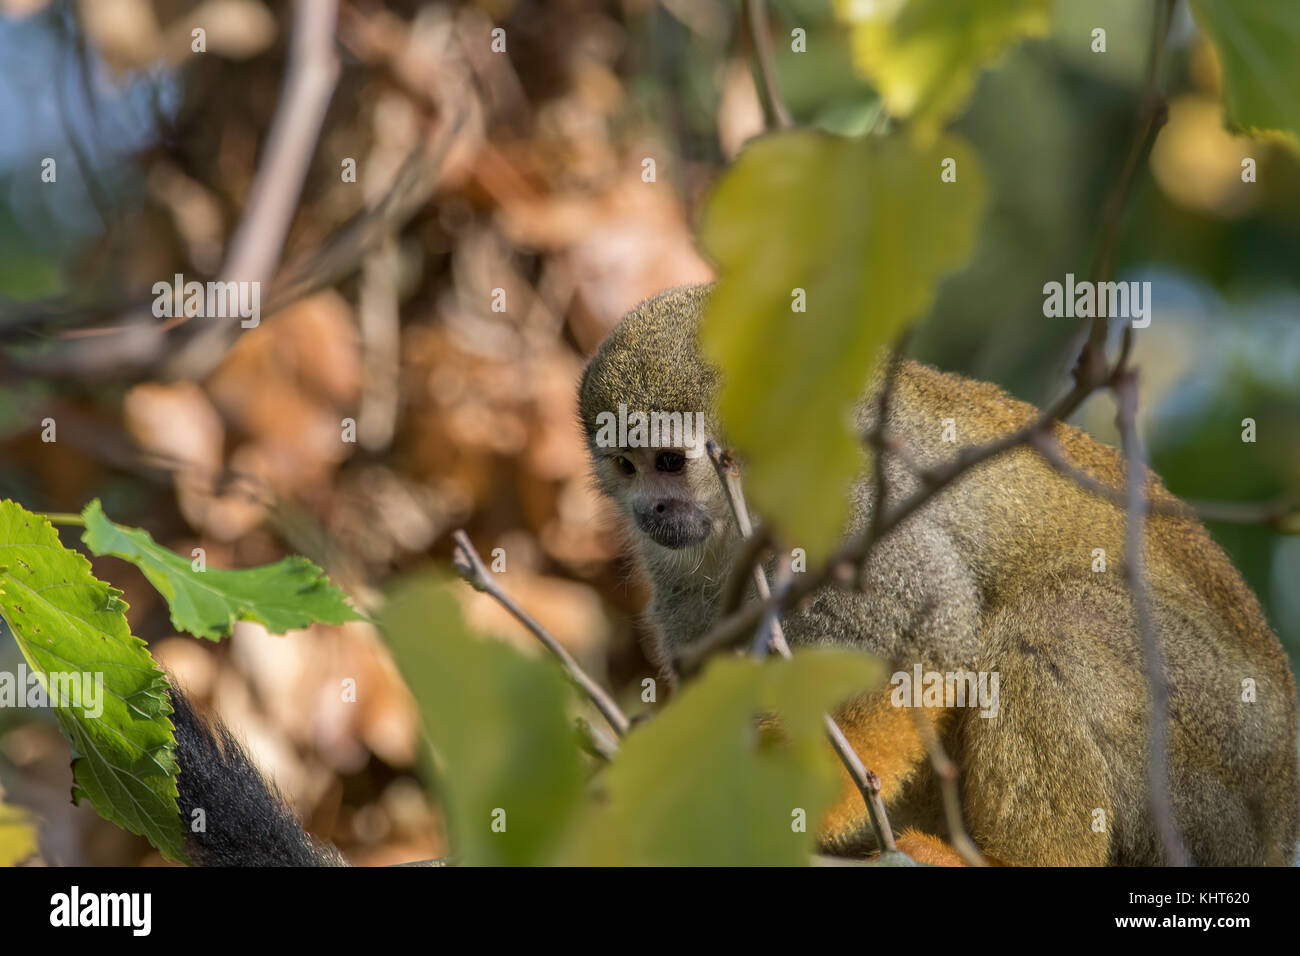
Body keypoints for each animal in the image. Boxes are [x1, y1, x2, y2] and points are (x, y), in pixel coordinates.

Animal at [579, 283, 1300, 868]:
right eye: (626, 466)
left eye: (669, 462)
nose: (650, 512)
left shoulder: (852, 501)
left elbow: (927, 633)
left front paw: (792, 798)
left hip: (1215, 768)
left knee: (1052, 623)